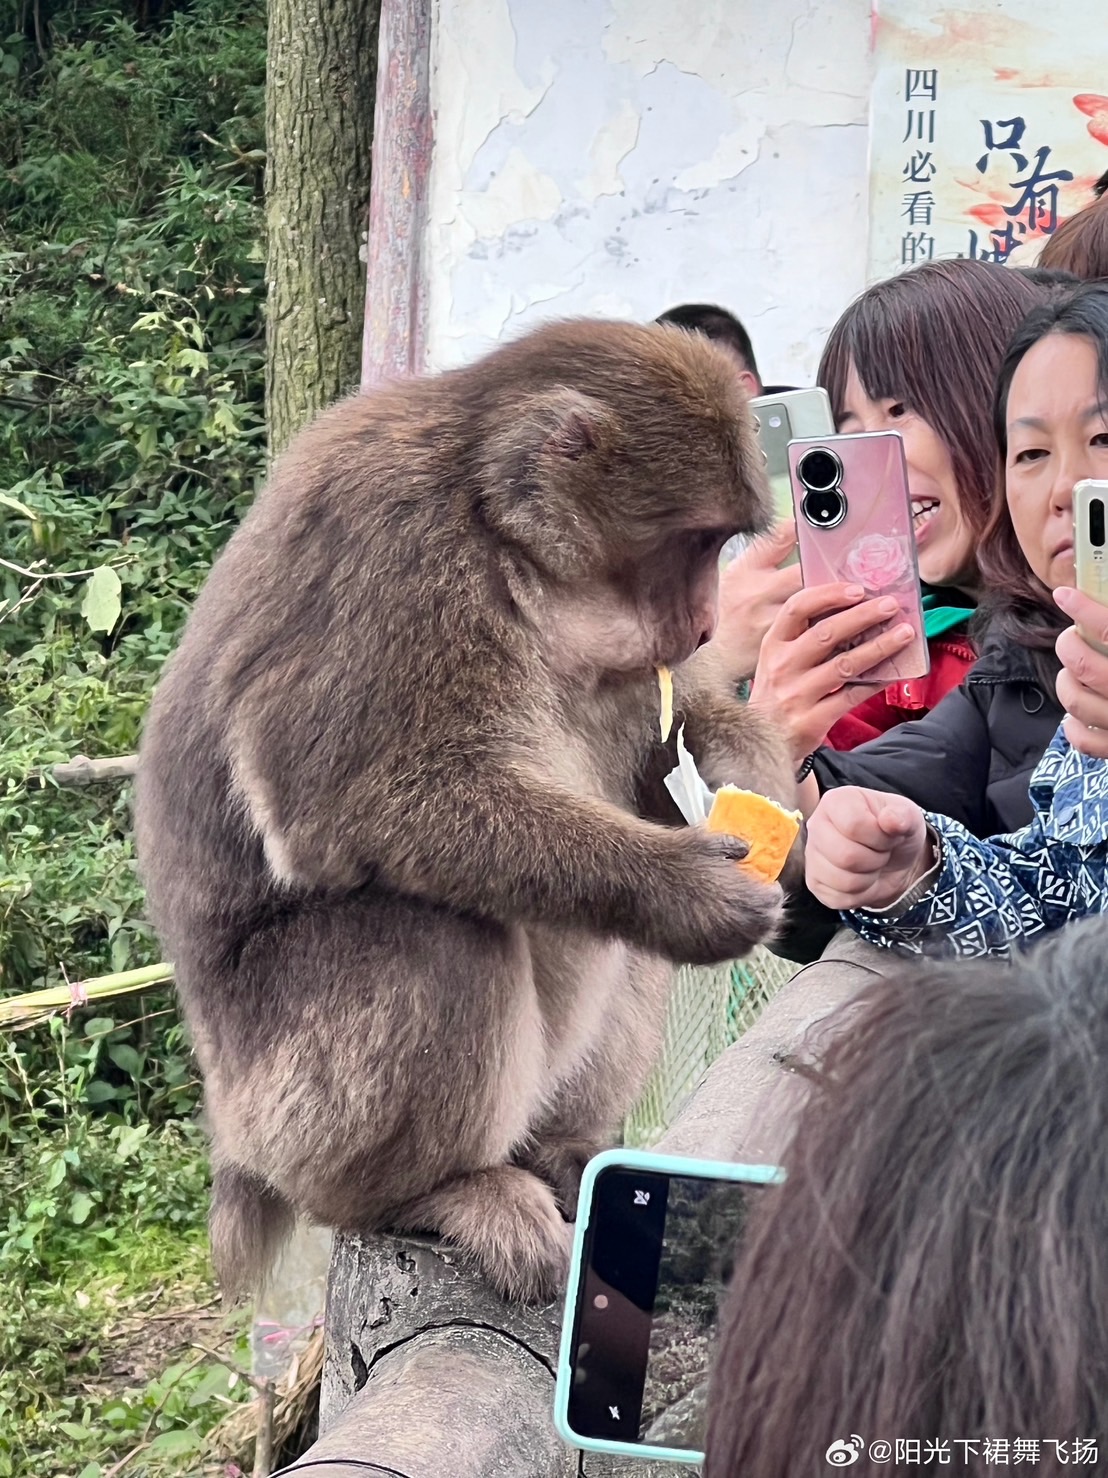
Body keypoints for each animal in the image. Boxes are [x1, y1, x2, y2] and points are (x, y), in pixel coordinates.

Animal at [134, 314, 803, 1306]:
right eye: (693, 542)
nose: (709, 623)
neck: (499, 531)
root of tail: (233, 1139)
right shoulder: (395, 546)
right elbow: (351, 796)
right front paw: (680, 885)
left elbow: (659, 751)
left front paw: (749, 778)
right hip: (286, 1111)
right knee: (433, 935)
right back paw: (441, 1188)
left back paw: (563, 1151)